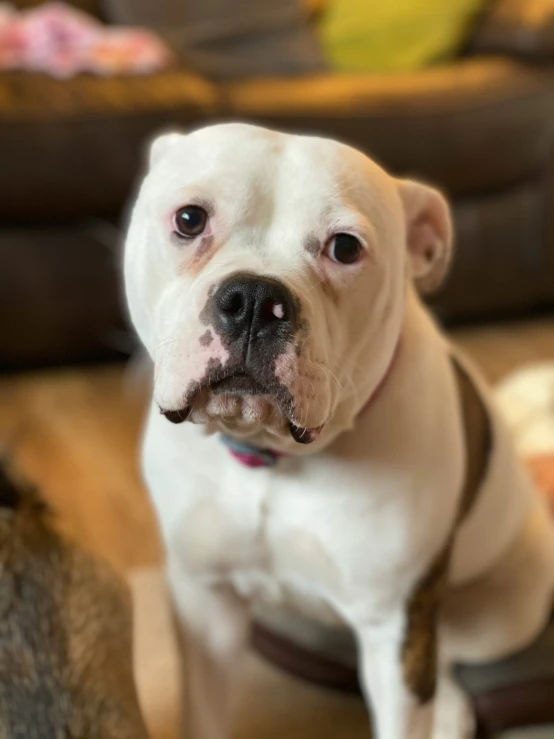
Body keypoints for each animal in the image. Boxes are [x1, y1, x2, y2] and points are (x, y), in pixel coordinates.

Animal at [123, 124, 552, 739]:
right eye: (189, 219)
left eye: (345, 247)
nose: (255, 299)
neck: (273, 458)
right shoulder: (205, 605)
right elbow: (203, 715)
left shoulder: (395, 629)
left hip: (505, 611)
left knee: (447, 663)